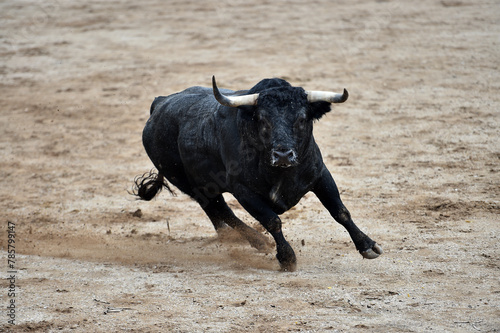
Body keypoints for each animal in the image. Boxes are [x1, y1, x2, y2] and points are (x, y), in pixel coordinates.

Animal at [134, 76, 382, 270]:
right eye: (262, 119)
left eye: (302, 118)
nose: (283, 155)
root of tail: (159, 103)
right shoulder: (244, 191)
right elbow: (272, 221)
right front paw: (287, 258)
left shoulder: (320, 175)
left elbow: (340, 211)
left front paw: (368, 245)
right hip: (188, 182)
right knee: (218, 208)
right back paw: (257, 240)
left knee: (215, 210)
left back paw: (233, 238)